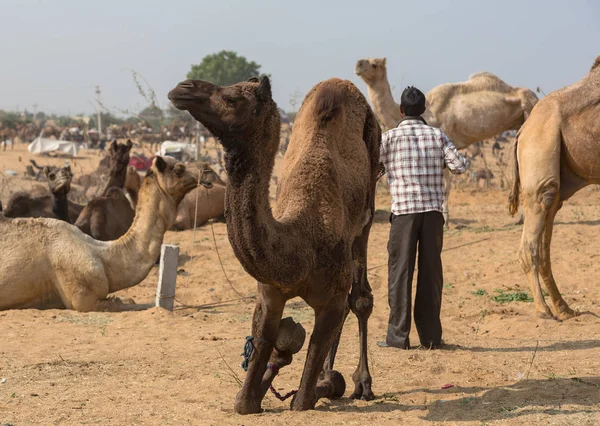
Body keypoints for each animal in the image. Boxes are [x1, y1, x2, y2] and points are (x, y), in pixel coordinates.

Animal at [169, 75, 382, 412]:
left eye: (232, 98)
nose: (184, 86)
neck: (300, 246)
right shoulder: (269, 295)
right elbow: (248, 390)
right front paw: (263, 382)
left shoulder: (331, 296)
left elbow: (303, 400)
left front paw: (321, 385)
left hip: (368, 200)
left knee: (359, 298)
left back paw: (361, 383)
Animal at [354, 57, 536, 223]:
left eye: (375, 64)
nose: (358, 64)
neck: (429, 111)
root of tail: (534, 97)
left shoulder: (445, 140)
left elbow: (446, 185)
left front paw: (446, 219)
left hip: (528, 110)